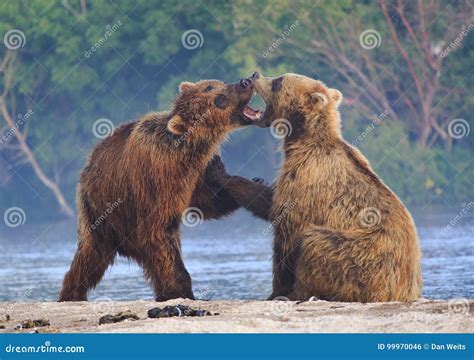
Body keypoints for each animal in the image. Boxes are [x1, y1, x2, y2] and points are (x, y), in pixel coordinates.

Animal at [58, 77, 262, 302]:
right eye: (216, 95)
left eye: (217, 83)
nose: (245, 81)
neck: (185, 151)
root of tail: (88, 163)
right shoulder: (158, 180)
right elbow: (160, 233)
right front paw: (184, 291)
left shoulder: (193, 175)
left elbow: (207, 202)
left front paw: (252, 183)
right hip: (101, 210)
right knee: (92, 255)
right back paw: (72, 294)